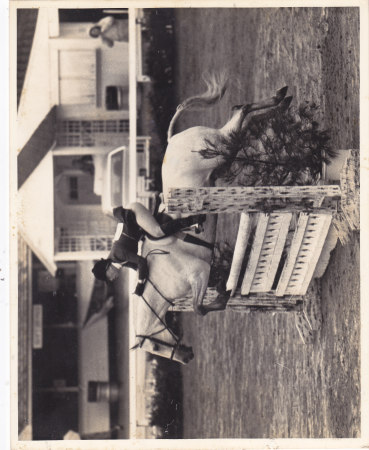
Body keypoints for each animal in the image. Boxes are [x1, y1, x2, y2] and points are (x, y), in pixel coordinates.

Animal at [133, 73, 290, 362]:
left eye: (155, 348)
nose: (187, 357)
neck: (159, 279)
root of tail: (173, 139)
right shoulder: (202, 274)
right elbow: (201, 305)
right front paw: (226, 293)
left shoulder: (199, 273)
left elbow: (199, 308)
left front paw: (224, 296)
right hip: (223, 151)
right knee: (244, 119)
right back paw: (280, 103)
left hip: (219, 148)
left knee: (241, 111)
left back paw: (278, 98)